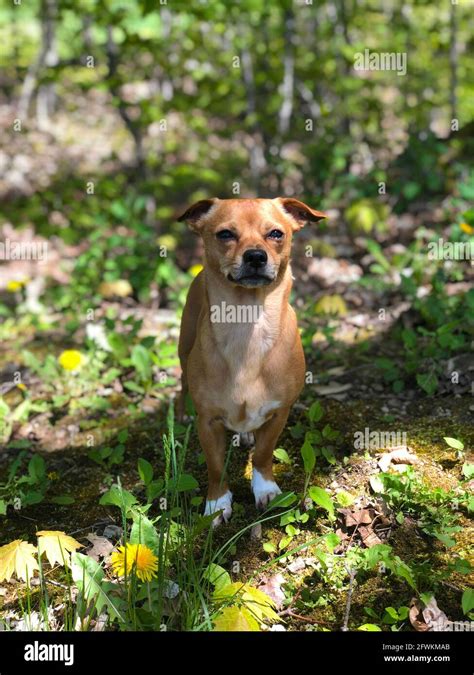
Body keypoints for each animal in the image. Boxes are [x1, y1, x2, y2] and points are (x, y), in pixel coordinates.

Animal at [178, 198, 326, 524]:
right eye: (225, 234)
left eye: (276, 233)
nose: (256, 256)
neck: (247, 327)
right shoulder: (208, 422)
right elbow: (215, 467)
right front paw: (217, 503)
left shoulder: (279, 413)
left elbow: (262, 454)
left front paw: (265, 489)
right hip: (183, 346)